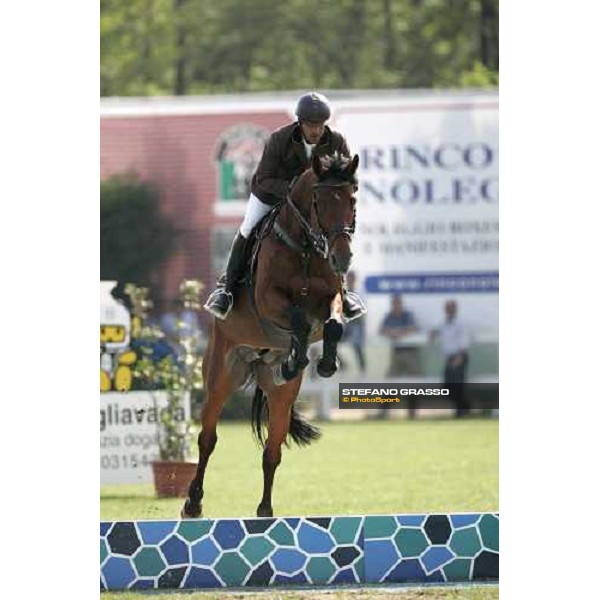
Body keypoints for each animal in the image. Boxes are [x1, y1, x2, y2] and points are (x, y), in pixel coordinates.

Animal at [183, 152, 358, 516]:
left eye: (352, 199)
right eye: (319, 201)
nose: (342, 258)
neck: (306, 247)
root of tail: (257, 362)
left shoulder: (330, 297)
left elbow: (332, 323)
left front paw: (324, 364)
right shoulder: (267, 300)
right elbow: (299, 319)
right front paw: (297, 358)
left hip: (280, 395)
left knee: (272, 451)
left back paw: (265, 511)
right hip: (221, 376)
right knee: (207, 439)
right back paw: (193, 503)